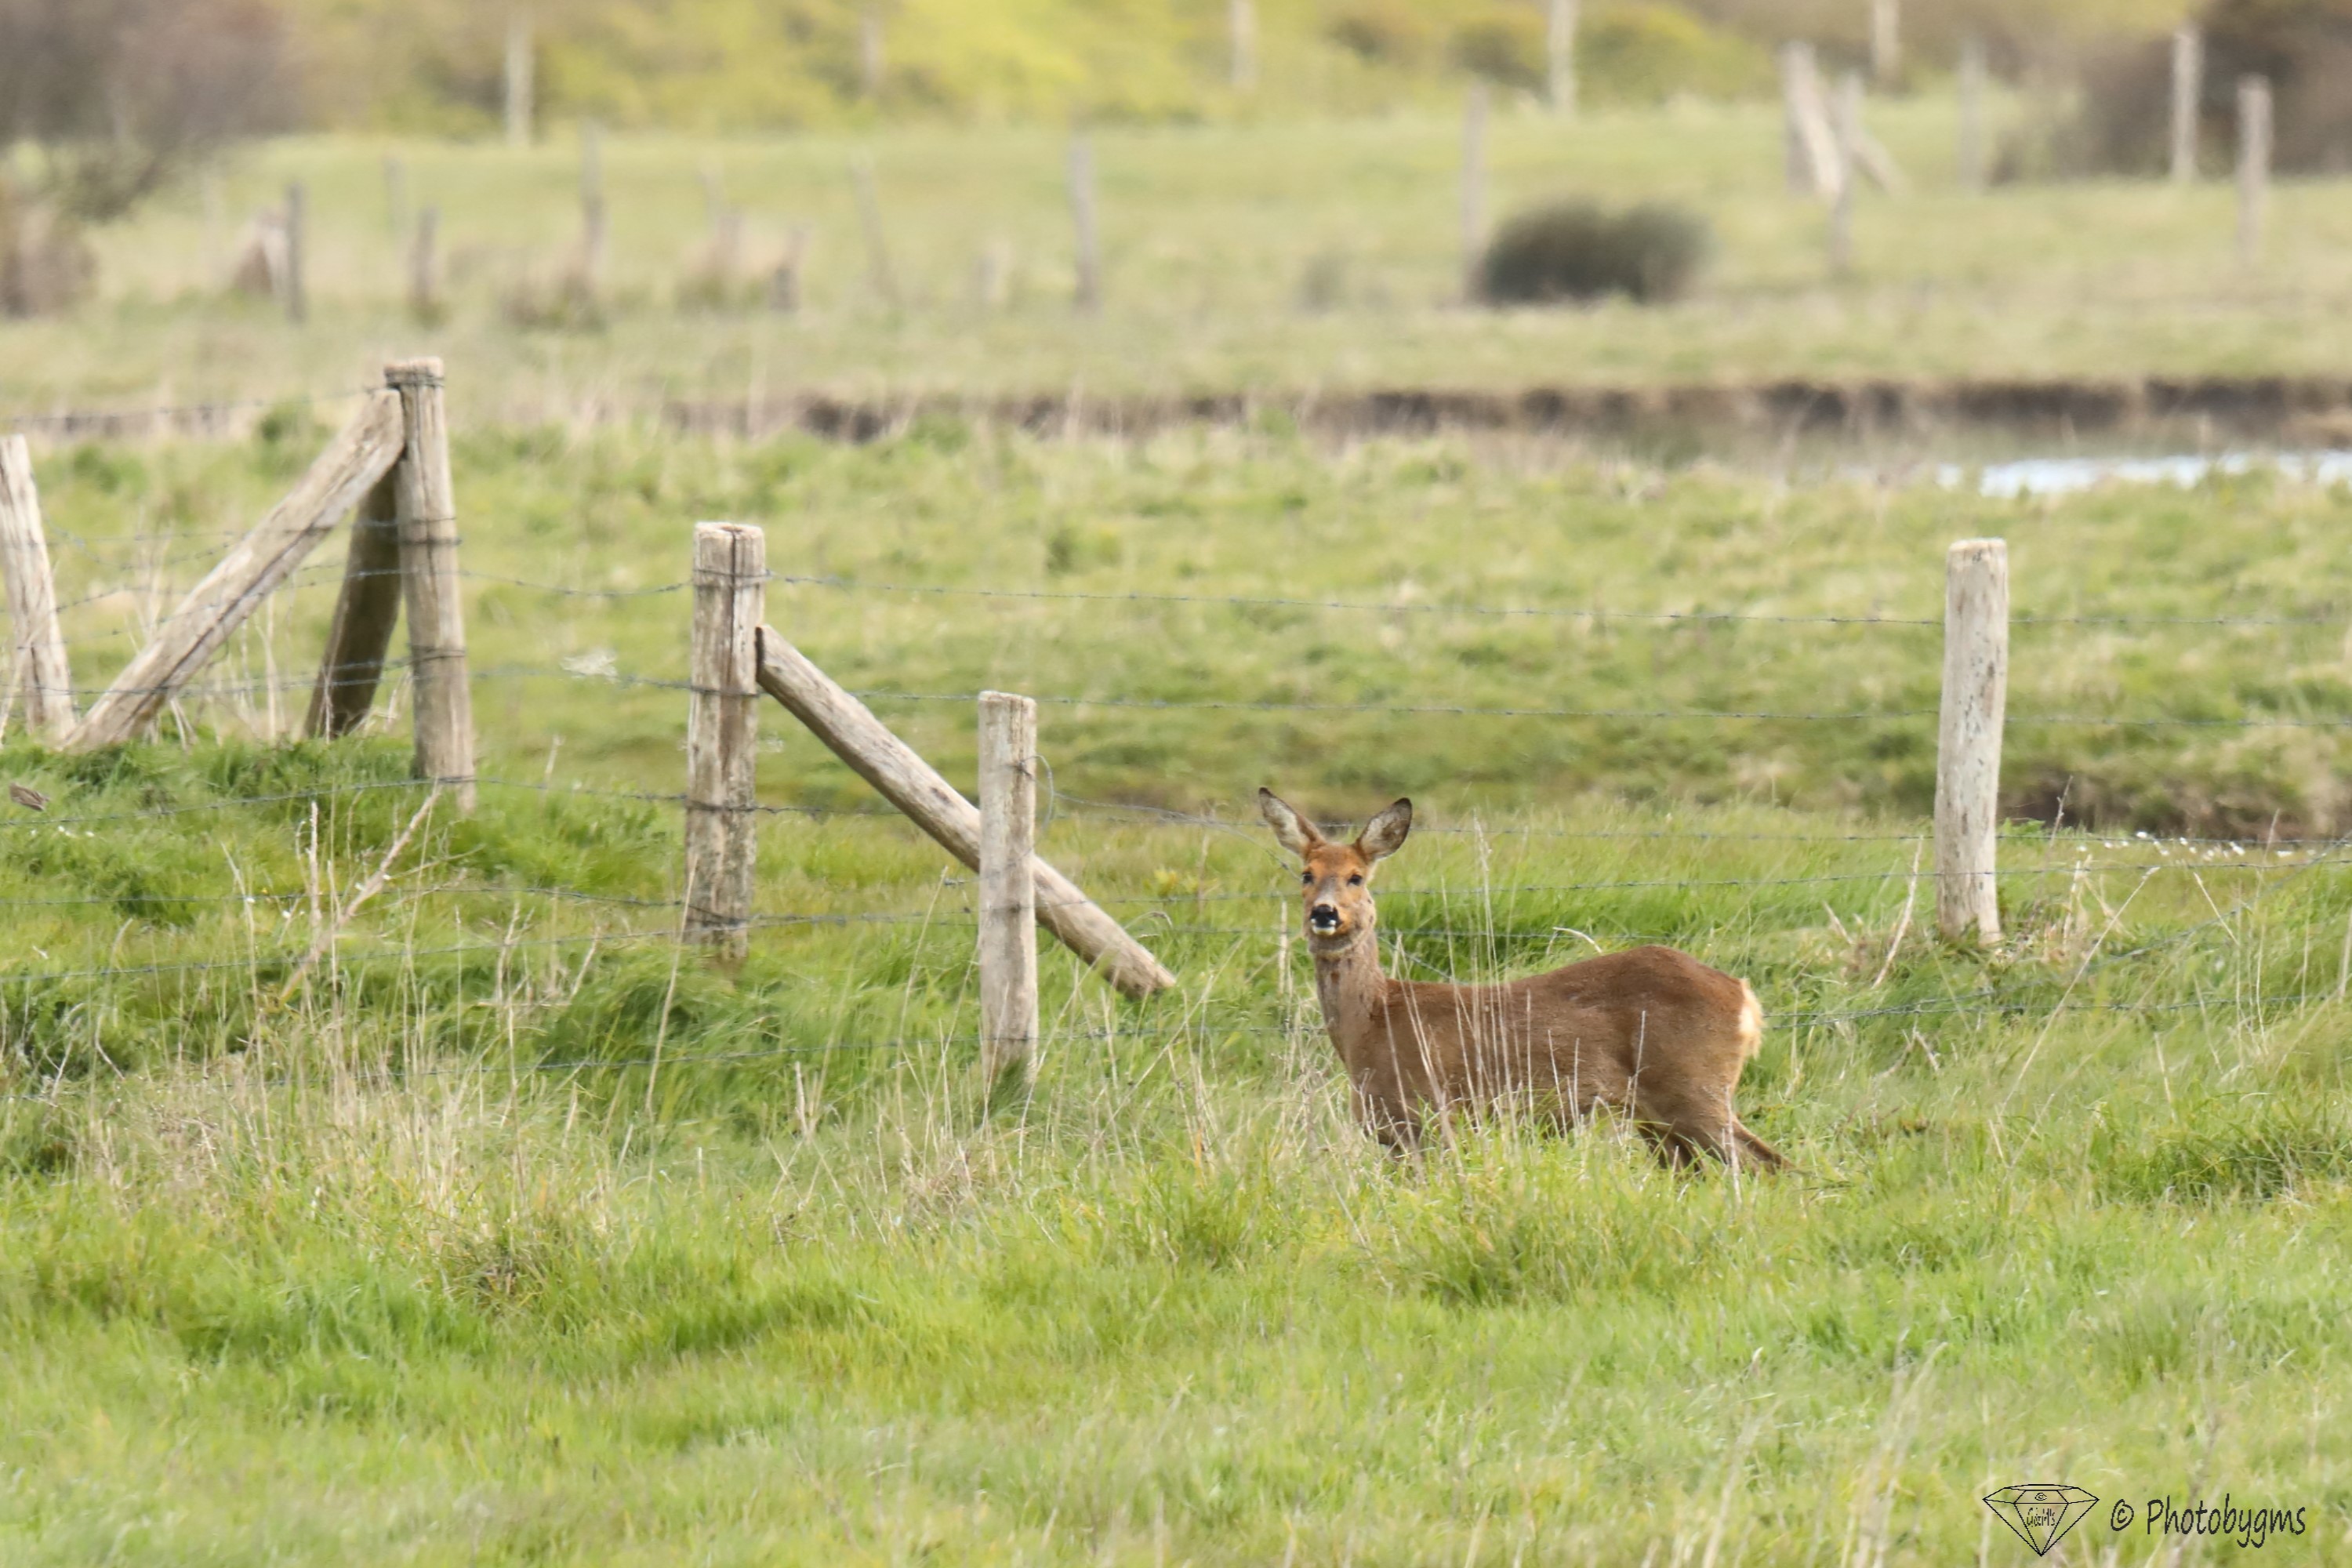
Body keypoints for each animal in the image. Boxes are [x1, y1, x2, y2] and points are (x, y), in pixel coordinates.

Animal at [1259, 788, 1786, 1171]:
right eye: (1306, 874)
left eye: (1356, 877)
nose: (1325, 913)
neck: (1370, 1024)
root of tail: (1744, 997)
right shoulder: (1391, 1132)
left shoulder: (1430, 1115)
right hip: (1657, 1115)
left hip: (1695, 1087)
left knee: (1766, 1165)